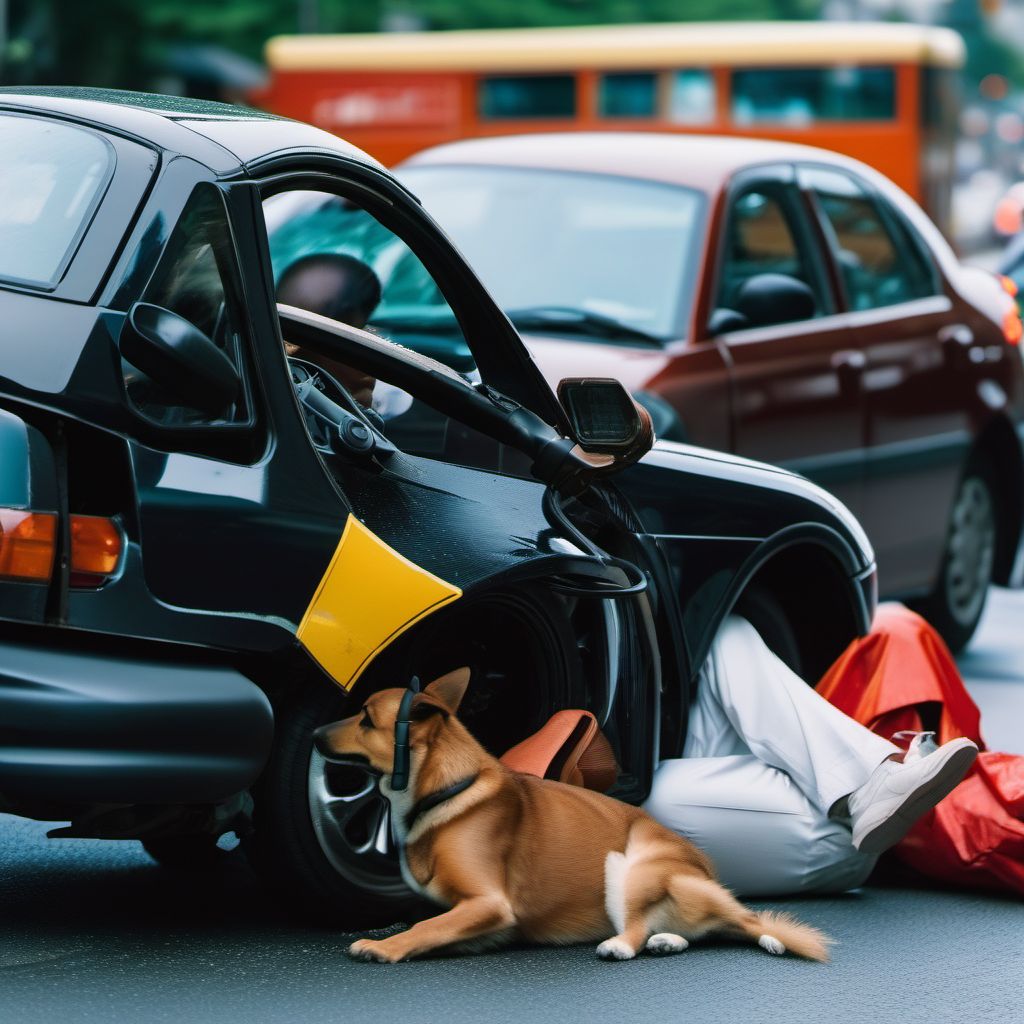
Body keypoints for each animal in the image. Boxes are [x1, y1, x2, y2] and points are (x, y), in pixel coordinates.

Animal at [313, 667, 831, 962]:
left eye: (364, 719)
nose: (314, 734)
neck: (443, 788)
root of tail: (706, 872)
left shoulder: (489, 904)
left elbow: (424, 926)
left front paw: (383, 948)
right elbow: (425, 919)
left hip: (631, 867)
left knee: (680, 927)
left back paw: (628, 945)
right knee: (690, 930)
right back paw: (668, 941)